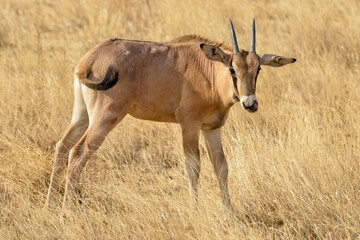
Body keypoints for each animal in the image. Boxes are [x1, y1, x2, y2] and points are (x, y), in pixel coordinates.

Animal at [45, 19, 296, 210]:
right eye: (232, 68)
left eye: (258, 68)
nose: (250, 103)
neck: (209, 70)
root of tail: (89, 60)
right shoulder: (189, 125)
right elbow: (193, 167)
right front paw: (194, 211)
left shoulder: (211, 128)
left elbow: (221, 167)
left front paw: (230, 214)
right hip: (105, 118)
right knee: (78, 152)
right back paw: (68, 211)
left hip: (82, 116)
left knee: (62, 146)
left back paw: (50, 205)